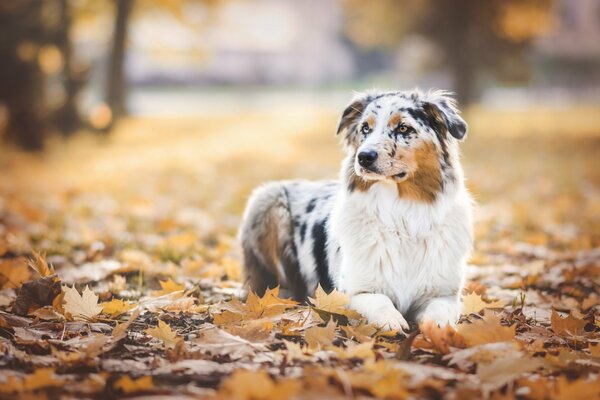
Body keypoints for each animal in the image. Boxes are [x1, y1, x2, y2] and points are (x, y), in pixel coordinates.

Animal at [238, 90, 474, 332]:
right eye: (365, 128)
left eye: (403, 128)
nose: (364, 156)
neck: (401, 216)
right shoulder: (349, 293)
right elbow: (379, 300)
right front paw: (391, 320)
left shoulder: (444, 294)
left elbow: (440, 313)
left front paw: (439, 330)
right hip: (266, 200)